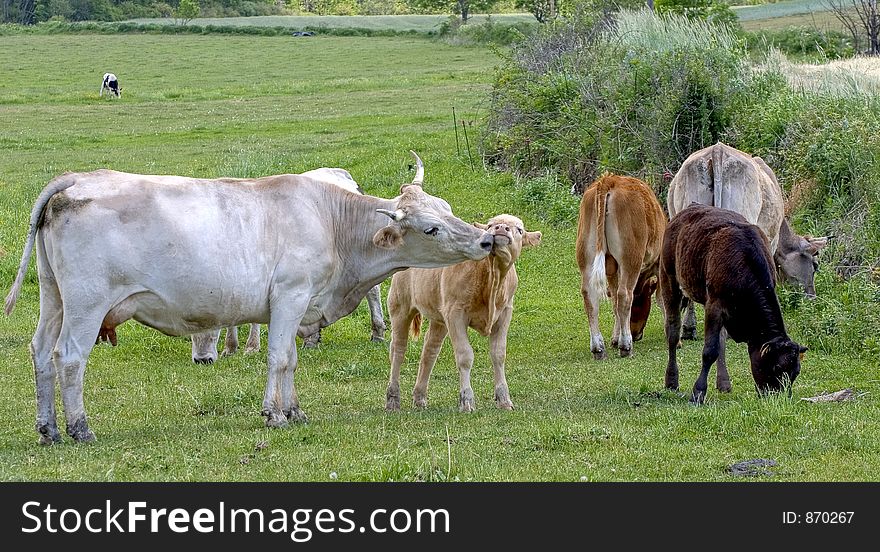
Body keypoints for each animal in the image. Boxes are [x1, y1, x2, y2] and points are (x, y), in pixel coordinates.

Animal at [3, 151, 492, 444]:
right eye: (431, 228)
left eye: (448, 209)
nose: (486, 240)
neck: (331, 221)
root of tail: (76, 180)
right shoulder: (291, 295)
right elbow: (278, 357)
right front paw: (273, 414)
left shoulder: (299, 305)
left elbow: (291, 359)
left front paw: (294, 411)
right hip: (86, 304)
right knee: (69, 357)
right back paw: (79, 428)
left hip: (53, 297)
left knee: (41, 351)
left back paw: (48, 428)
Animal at [386, 213, 540, 412]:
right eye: (490, 225)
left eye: (519, 230)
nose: (500, 228)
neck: (492, 276)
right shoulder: (455, 313)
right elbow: (465, 356)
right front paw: (466, 400)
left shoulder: (505, 313)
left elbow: (498, 354)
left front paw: (504, 399)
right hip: (400, 305)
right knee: (398, 349)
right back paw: (392, 400)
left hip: (439, 318)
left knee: (430, 350)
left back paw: (420, 398)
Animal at [576, 175, 664, 360]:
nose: (637, 334)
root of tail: (609, 179)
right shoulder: (660, 264)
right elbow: (661, 298)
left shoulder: (612, 271)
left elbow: (614, 301)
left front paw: (615, 338)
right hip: (630, 259)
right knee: (624, 294)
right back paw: (626, 346)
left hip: (587, 258)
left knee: (590, 296)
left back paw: (598, 348)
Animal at [656, 205, 808, 404]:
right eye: (775, 368)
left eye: (795, 373)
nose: (780, 399)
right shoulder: (715, 306)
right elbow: (710, 351)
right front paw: (698, 392)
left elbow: (718, 344)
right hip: (669, 278)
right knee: (673, 331)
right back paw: (671, 380)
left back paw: (723, 382)